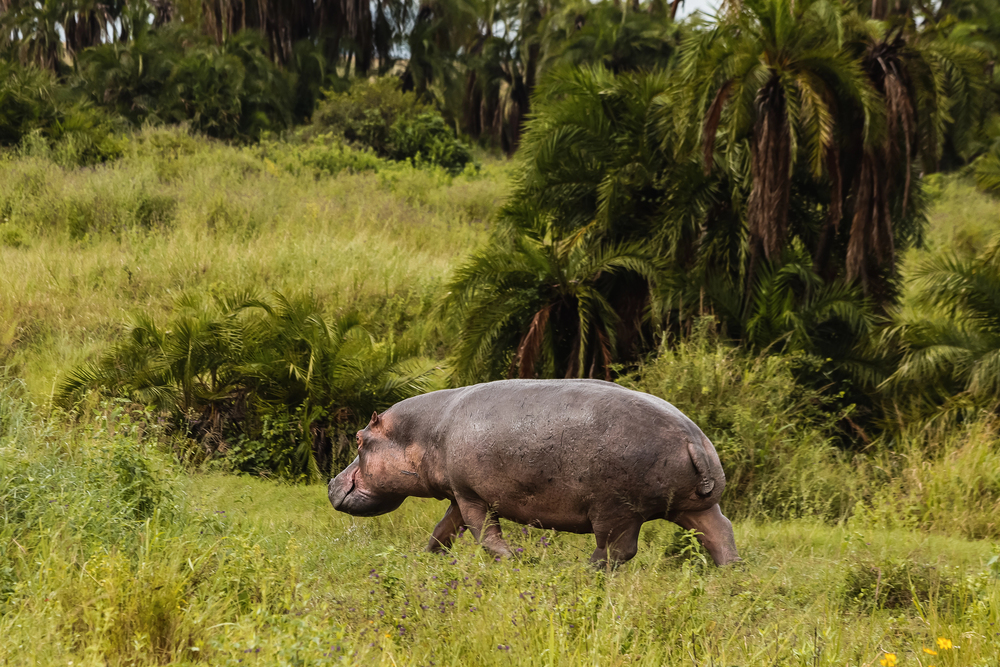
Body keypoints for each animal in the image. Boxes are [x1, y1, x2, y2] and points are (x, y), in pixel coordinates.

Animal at [328, 379, 739, 566]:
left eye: (360, 439)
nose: (331, 482)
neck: (422, 432)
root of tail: (693, 439)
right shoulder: (458, 496)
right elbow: (442, 530)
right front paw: (427, 559)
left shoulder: (472, 496)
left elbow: (484, 535)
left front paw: (515, 561)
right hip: (692, 506)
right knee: (720, 532)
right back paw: (729, 572)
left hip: (616, 510)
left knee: (616, 550)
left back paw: (583, 572)